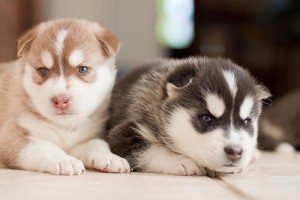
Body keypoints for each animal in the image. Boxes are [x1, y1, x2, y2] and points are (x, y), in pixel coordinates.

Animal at [0, 18, 129, 175]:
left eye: (83, 69)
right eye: (43, 70)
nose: (60, 100)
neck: (65, 127)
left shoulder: (81, 140)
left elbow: (96, 142)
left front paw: (110, 157)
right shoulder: (10, 137)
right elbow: (43, 145)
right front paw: (64, 160)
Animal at [106, 56, 270, 175]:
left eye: (246, 122)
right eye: (206, 118)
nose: (235, 152)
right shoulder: (123, 133)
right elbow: (151, 149)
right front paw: (181, 161)